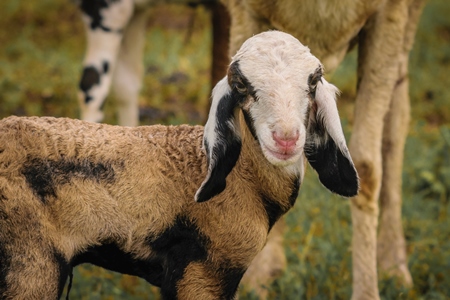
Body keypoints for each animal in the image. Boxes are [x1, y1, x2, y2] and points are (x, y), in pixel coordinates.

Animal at [0, 31, 358, 298]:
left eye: (313, 81)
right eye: (241, 84)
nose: (286, 139)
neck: (243, 180)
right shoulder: (201, 272)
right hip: (29, 263)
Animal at [220, 0, 428, 298]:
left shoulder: (389, 15)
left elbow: (368, 167)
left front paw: (367, 291)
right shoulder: (245, 15)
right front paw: (256, 282)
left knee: (394, 126)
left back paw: (394, 265)